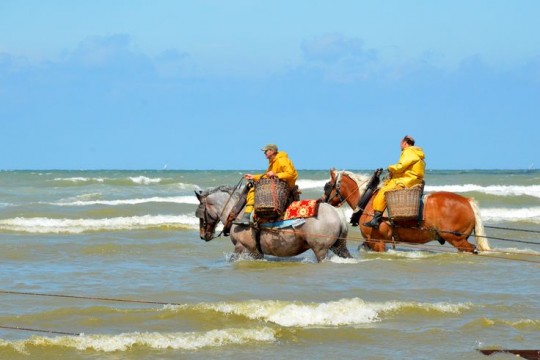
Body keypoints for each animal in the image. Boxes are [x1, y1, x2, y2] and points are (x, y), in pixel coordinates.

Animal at [194, 186, 350, 262]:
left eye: (200, 214)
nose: (202, 236)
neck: (237, 212)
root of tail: (337, 213)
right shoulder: (255, 252)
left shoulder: (241, 247)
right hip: (339, 246)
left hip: (321, 250)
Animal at [322, 170, 492, 255]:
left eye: (327, 186)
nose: (322, 201)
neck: (368, 198)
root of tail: (468, 201)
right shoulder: (370, 242)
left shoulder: (378, 242)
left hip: (456, 238)